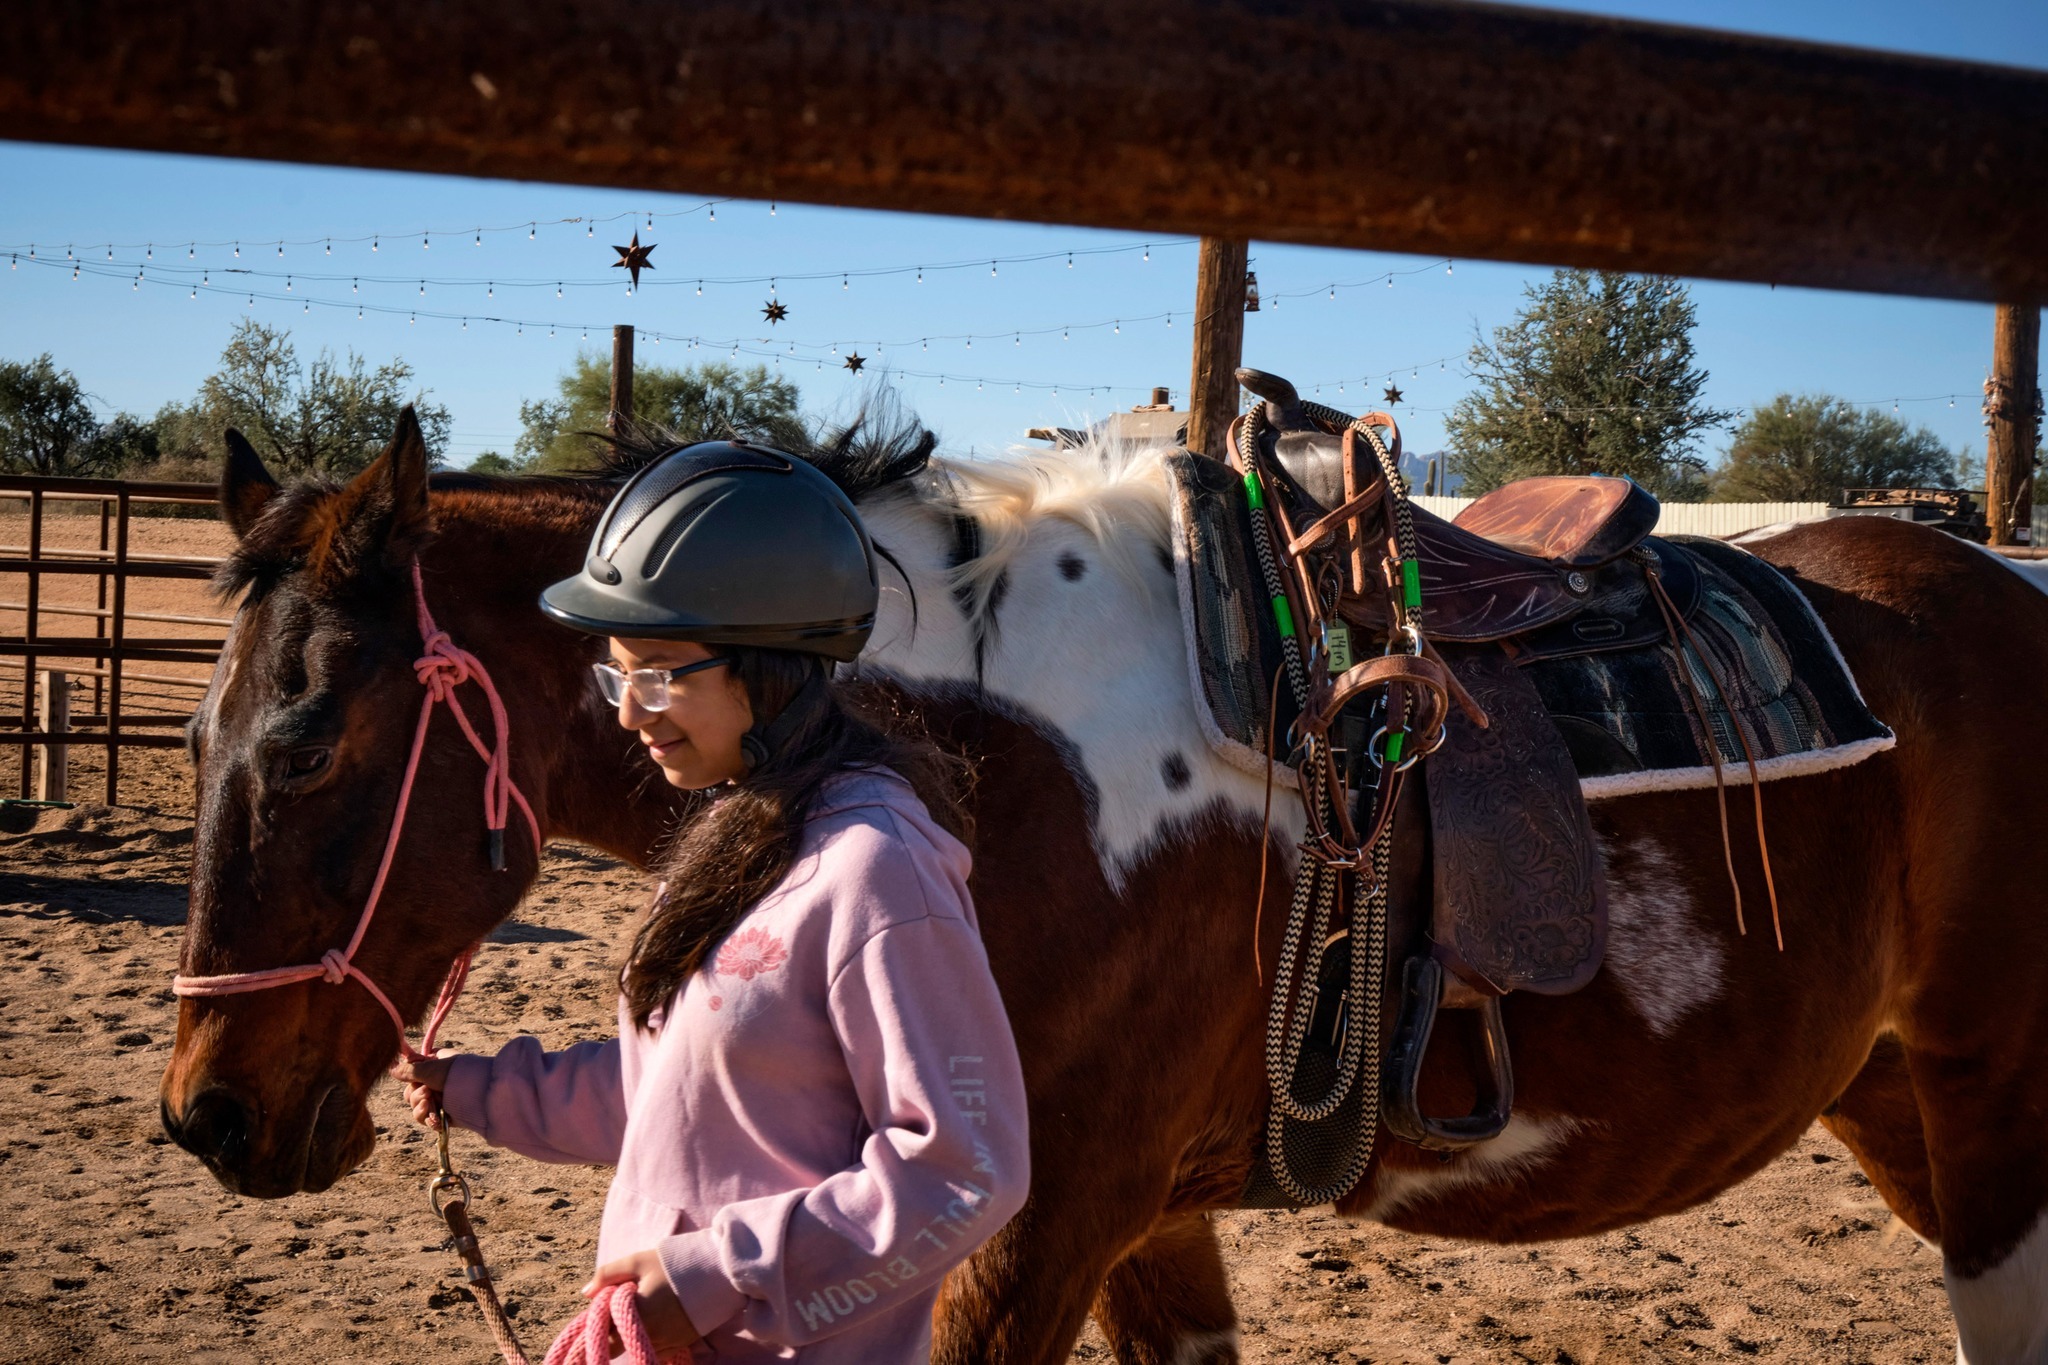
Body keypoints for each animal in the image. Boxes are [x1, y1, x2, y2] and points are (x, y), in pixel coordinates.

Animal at [160, 409, 2048, 1364]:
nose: (208, 1116)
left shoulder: (1031, 1225)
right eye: (192, 730)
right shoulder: (1148, 1223)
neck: (976, 751)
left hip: (1992, 1117)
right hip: (1890, 1098)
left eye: (312, 748)